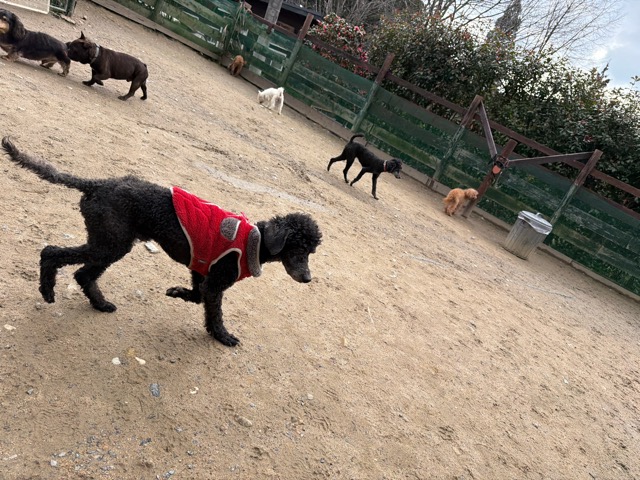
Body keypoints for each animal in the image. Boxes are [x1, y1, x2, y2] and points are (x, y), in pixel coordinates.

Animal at [1, 137, 322, 347]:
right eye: (298, 249)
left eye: (311, 251)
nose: (308, 278)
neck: (254, 240)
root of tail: (98, 184)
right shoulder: (216, 281)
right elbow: (213, 311)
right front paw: (222, 336)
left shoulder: (201, 269)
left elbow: (198, 295)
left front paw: (177, 292)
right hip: (110, 243)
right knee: (52, 253)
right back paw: (47, 291)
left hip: (111, 243)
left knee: (83, 274)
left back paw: (100, 304)